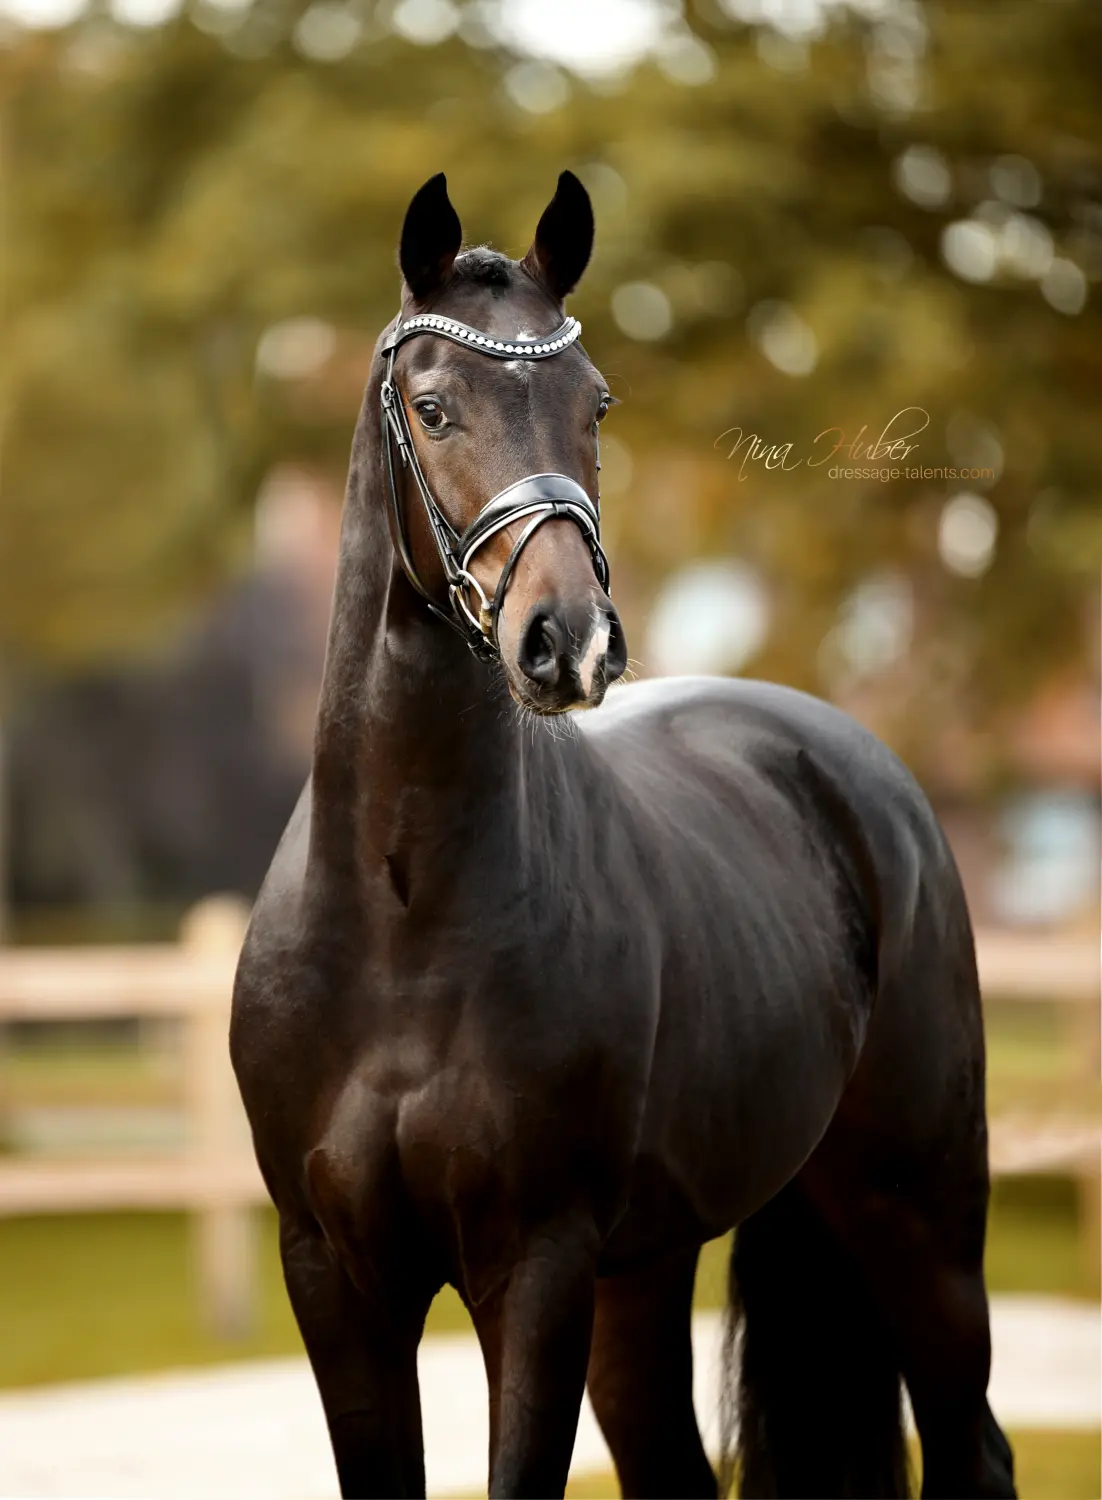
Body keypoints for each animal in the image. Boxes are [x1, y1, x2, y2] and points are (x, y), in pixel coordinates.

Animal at [230, 170, 1017, 1500]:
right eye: (432, 407)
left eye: (592, 403)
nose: (570, 641)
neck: (400, 910)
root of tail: (859, 775)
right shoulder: (335, 1275)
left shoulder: (536, 1265)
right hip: (651, 1272)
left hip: (919, 1223)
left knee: (973, 1445)